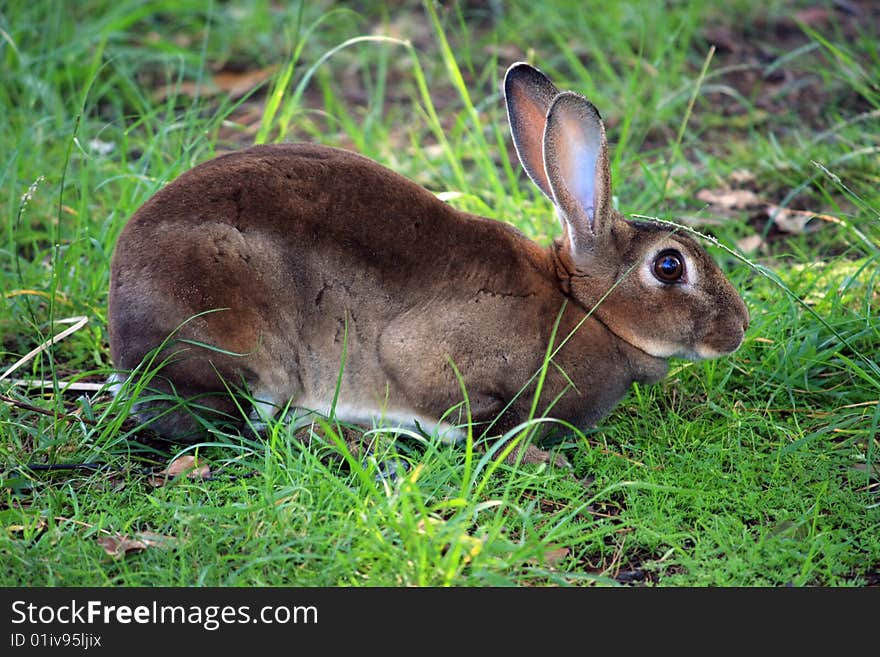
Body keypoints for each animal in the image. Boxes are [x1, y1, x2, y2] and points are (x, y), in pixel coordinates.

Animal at [105, 60, 748, 462]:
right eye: (670, 267)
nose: (739, 329)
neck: (585, 307)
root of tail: (122, 328)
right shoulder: (429, 354)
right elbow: (464, 408)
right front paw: (529, 455)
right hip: (234, 335)